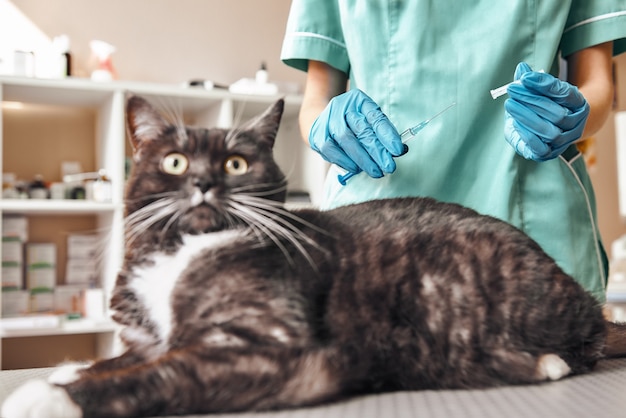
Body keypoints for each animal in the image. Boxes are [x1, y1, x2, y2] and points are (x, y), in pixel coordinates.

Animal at [3, 94, 624, 418]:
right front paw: (71, 368)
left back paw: (543, 360)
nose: (204, 182)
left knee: (581, 344)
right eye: (175, 162)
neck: (184, 251)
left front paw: (47, 397)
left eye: (236, 164)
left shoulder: (264, 349)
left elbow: (156, 374)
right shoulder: (150, 339)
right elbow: (123, 360)